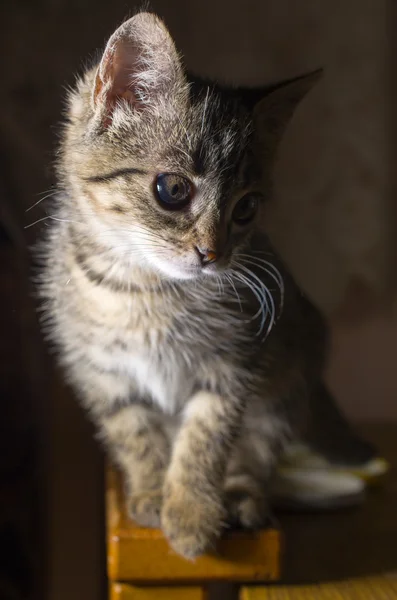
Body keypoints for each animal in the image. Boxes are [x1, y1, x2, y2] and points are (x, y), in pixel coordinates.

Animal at [39, 11, 324, 560]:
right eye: (172, 189)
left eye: (246, 208)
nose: (213, 253)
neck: (150, 290)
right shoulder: (99, 369)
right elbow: (134, 432)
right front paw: (152, 491)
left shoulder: (235, 360)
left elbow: (205, 437)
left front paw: (191, 511)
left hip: (291, 376)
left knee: (259, 450)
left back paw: (243, 498)